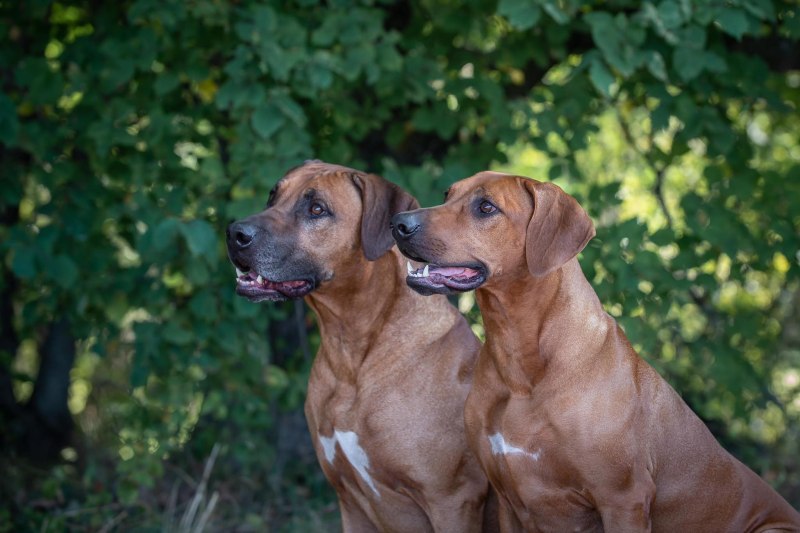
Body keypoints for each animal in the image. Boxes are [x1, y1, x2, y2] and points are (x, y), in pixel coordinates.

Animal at [226, 161, 492, 532]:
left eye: (317, 209)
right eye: (272, 196)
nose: (234, 233)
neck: (350, 353)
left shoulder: (453, 501)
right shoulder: (349, 501)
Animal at [391, 171, 800, 531]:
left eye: (486, 207)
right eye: (447, 195)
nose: (399, 223)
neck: (520, 363)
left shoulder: (623, 499)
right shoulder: (507, 501)